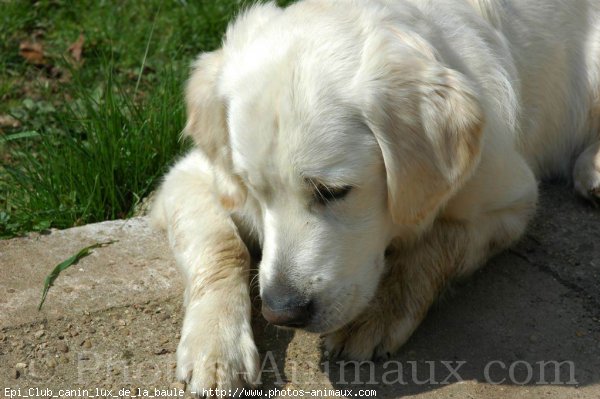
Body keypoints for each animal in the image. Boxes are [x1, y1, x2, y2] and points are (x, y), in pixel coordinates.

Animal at [151, 0, 600, 394]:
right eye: (251, 189)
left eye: (333, 192)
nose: (282, 311)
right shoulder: (188, 177)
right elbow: (222, 248)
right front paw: (216, 348)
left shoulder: (511, 201)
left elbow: (437, 245)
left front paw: (379, 311)